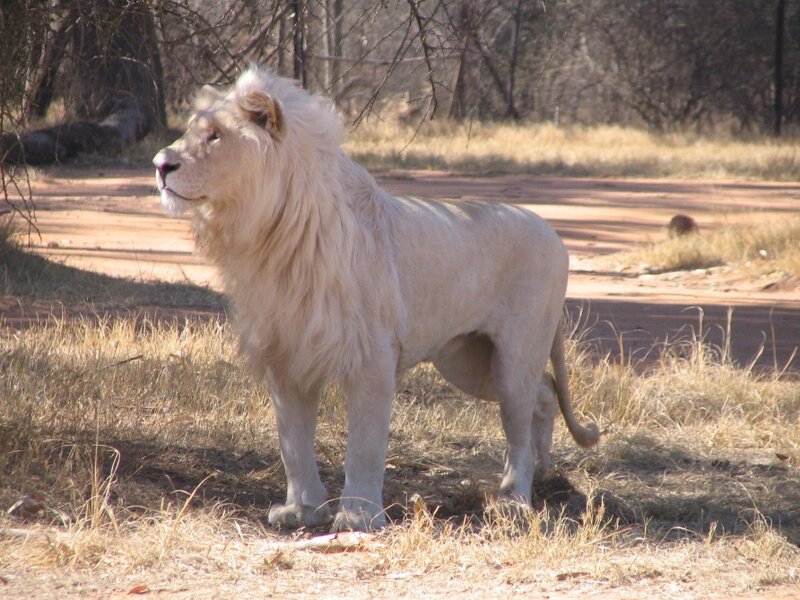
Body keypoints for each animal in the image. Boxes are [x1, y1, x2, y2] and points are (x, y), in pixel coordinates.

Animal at [152, 67, 600, 532]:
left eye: (215, 135)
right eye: (191, 130)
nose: (160, 165)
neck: (272, 235)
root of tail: (553, 233)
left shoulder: (372, 358)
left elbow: (365, 445)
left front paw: (358, 515)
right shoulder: (285, 356)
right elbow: (293, 443)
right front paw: (302, 510)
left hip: (513, 357)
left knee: (522, 413)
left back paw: (515, 497)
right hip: (468, 362)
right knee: (544, 392)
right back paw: (544, 471)